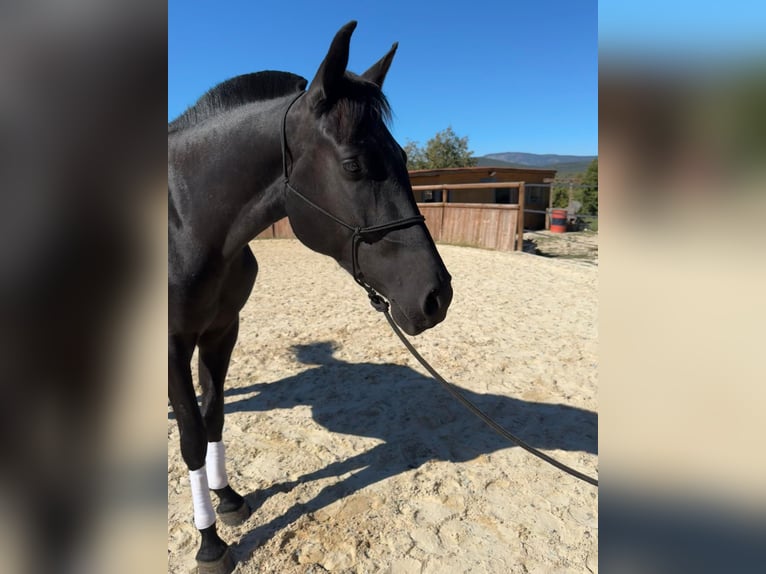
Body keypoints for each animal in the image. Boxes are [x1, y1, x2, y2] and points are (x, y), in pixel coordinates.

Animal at [168, 21, 453, 573]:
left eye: (404, 158)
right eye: (354, 165)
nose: (437, 296)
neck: (184, 222)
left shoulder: (221, 332)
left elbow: (214, 417)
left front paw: (228, 499)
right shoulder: (171, 344)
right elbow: (192, 437)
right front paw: (209, 541)